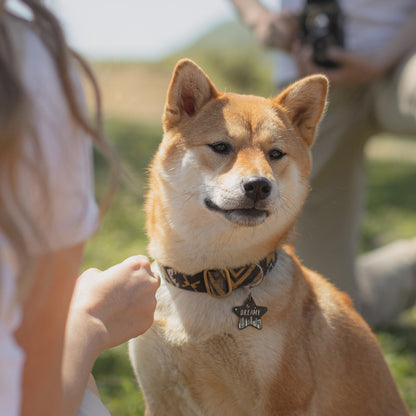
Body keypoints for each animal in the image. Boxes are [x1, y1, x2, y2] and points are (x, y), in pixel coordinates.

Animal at [128, 59, 408, 416]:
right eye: (221, 146)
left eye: (275, 153)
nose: (259, 185)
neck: (210, 279)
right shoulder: (161, 398)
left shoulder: (282, 400)